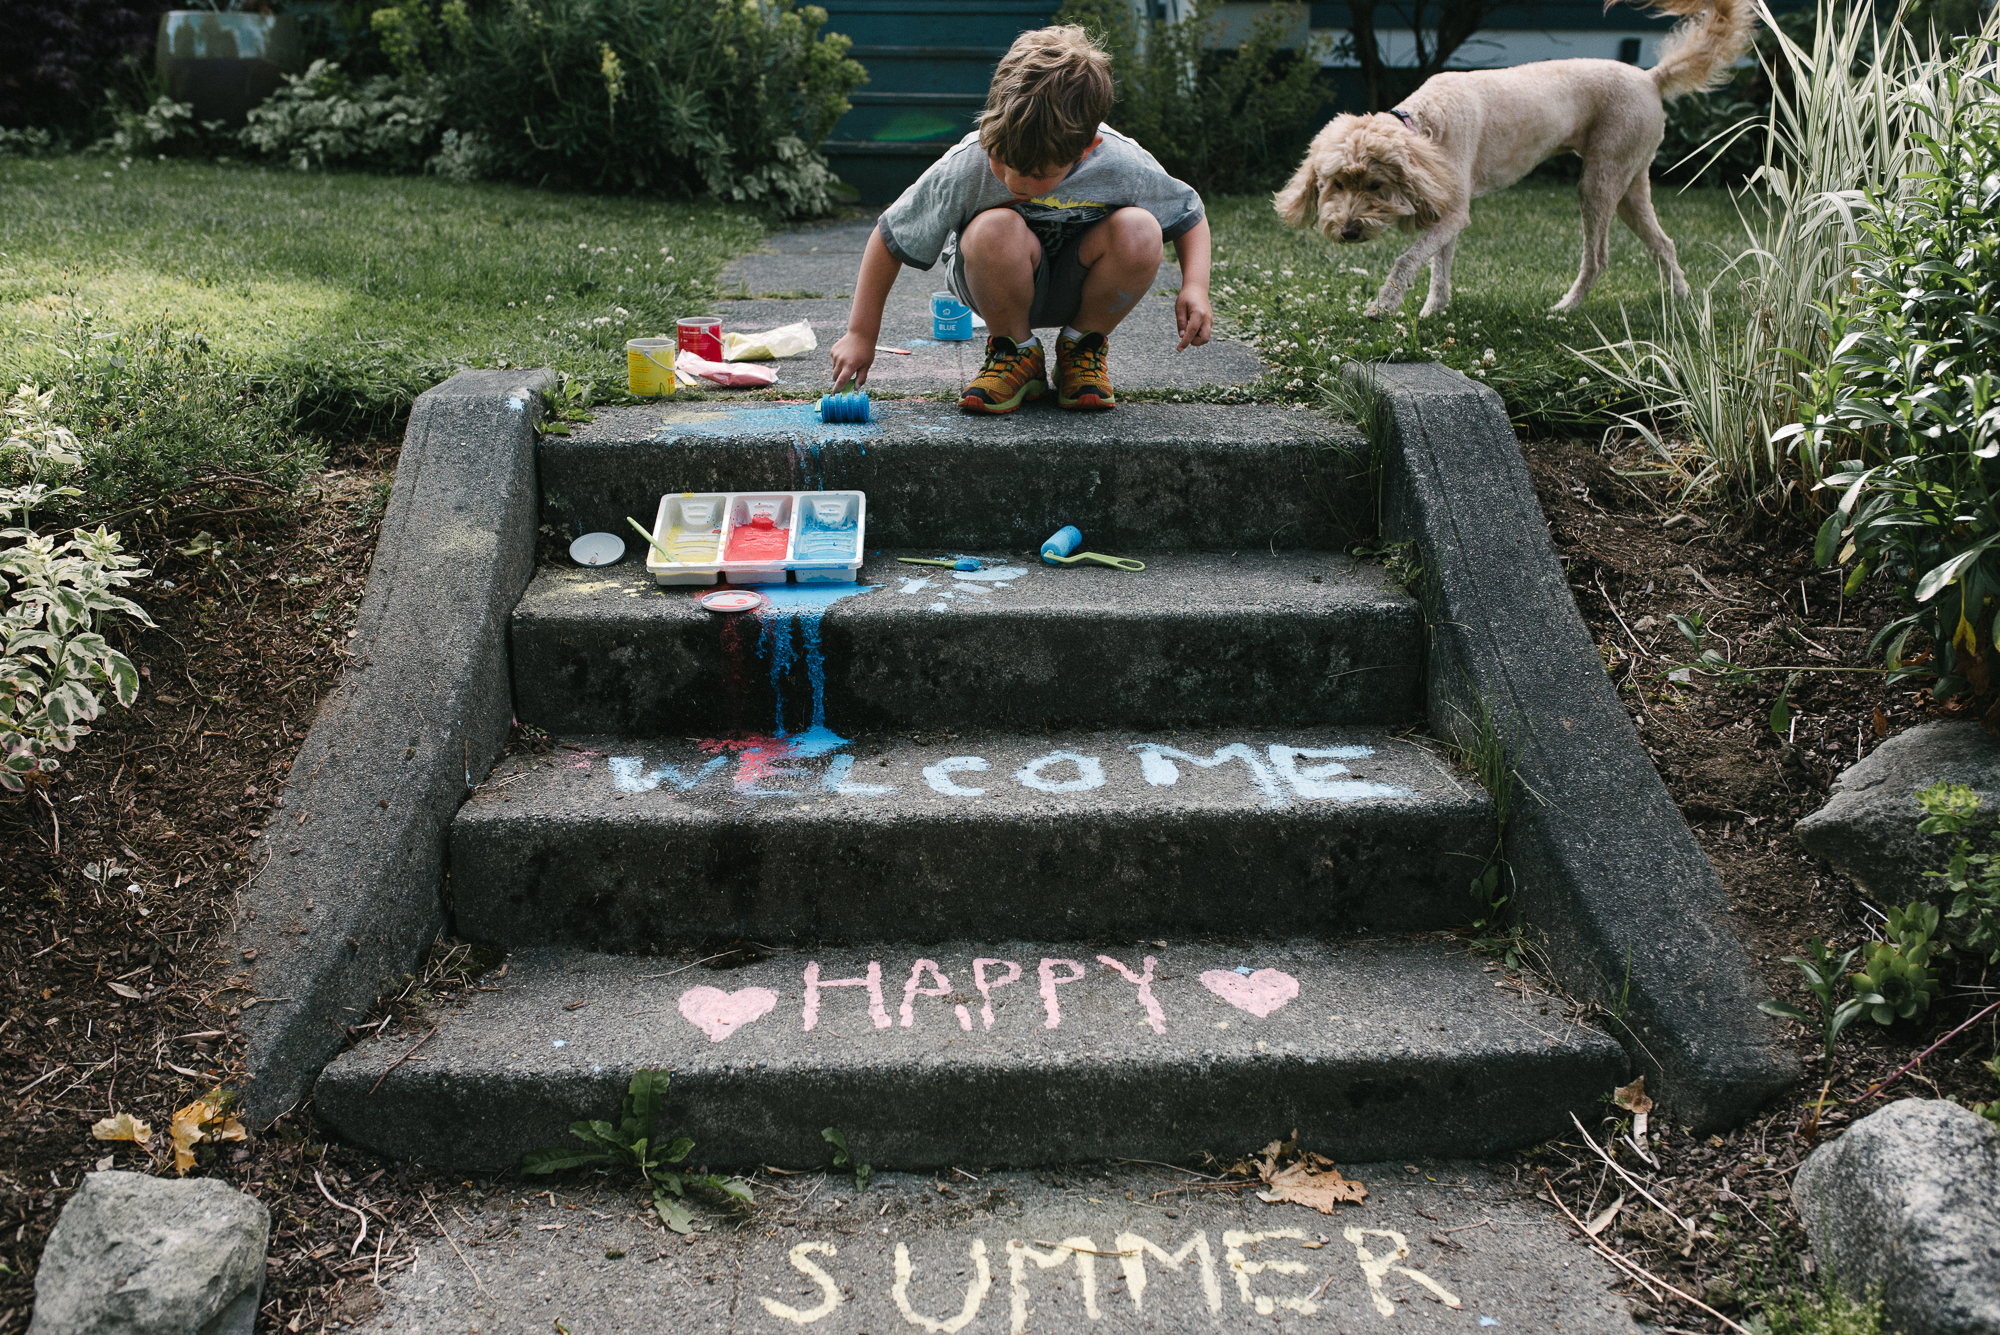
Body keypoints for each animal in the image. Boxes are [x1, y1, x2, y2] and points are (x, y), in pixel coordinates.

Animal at [1280, 0, 1752, 319]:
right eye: (1337, 184)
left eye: (1376, 186)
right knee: (1664, 244)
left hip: (1599, 182)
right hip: (1630, 186)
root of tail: (1650, 78)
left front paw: (1385, 305)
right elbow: (1439, 265)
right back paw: (1684, 304)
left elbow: (1410, 257)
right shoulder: (1445, 210)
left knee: (1598, 258)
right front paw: (1434, 310)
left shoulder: (1455, 210)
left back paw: (1566, 308)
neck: (1425, 127)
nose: (1348, 231)